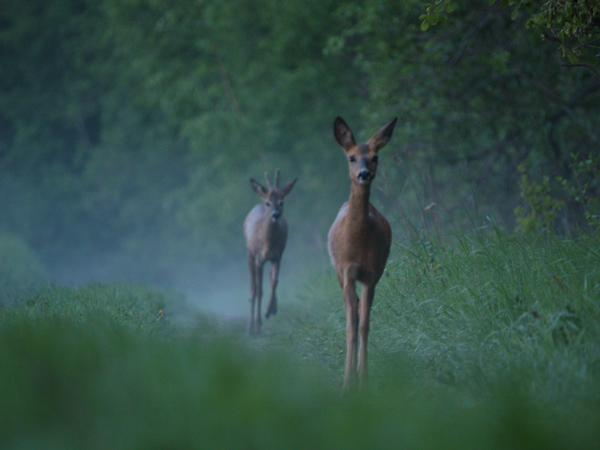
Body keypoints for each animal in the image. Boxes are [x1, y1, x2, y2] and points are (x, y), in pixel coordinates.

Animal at [244, 169, 297, 335]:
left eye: (281, 202)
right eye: (268, 203)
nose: (275, 215)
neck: (268, 244)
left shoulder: (278, 256)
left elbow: (274, 282)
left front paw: (268, 311)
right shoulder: (259, 259)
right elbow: (259, 290)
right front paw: (257, 325)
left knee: (268, 278)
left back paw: (272, 309)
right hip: (249, 253)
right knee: (253, 287)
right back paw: (250, 326)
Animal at [327, 116, 397, 392]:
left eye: (375, 157)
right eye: (352, 157)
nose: (364, 174)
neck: (357, 241)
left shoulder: (371, 274)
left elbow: (365, 324)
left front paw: (363, 377)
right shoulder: (346, 272)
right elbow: (350, 326)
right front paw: (347, 383)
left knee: (359, 311)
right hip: (337, 273)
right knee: (353, 312)